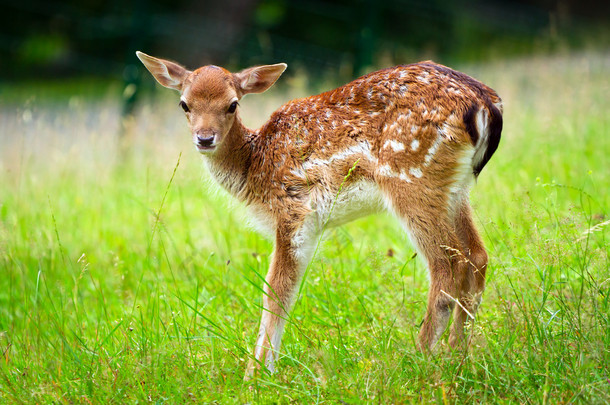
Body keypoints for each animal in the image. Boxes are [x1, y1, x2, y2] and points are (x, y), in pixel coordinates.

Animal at [135, 51, 502, 378]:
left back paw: (419, 358)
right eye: (185, 104)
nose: (205, 138)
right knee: (477, 255)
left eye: (232, 104)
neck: (255, 166)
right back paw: (458, 355)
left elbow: (276, 291)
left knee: (447, 263)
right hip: (454, 189)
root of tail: (485, 104)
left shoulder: (294, 210)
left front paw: (257, 376)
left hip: (410, 178)